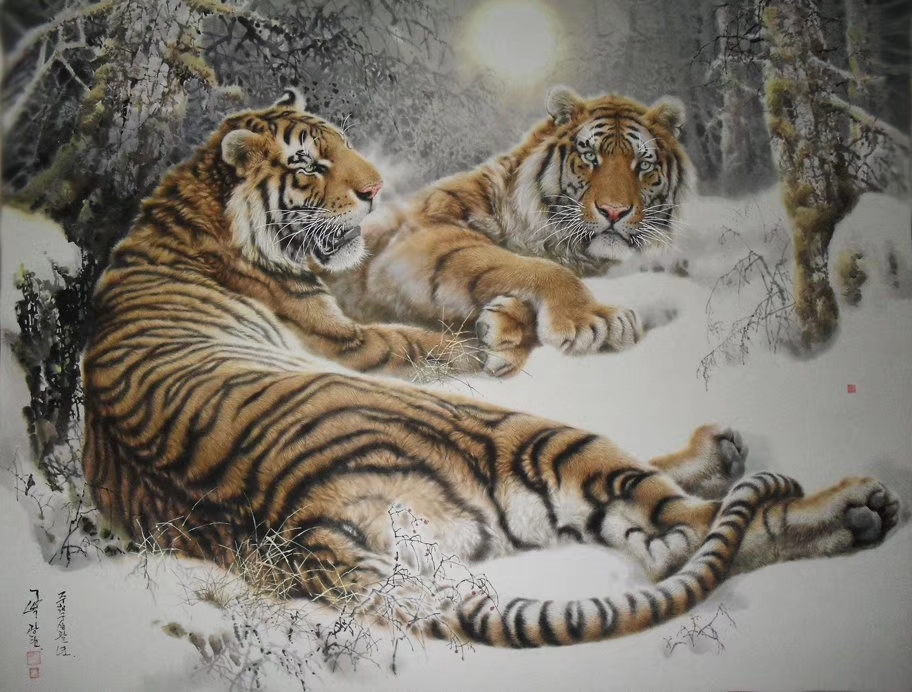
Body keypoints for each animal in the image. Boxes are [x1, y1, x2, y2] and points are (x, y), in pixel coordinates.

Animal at [326, 86, 689, 376]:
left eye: (643, 164)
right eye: (590, 156)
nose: (614, 211)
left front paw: (501, 329)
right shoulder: (426, 228)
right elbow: (523, 265)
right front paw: (592, 318)